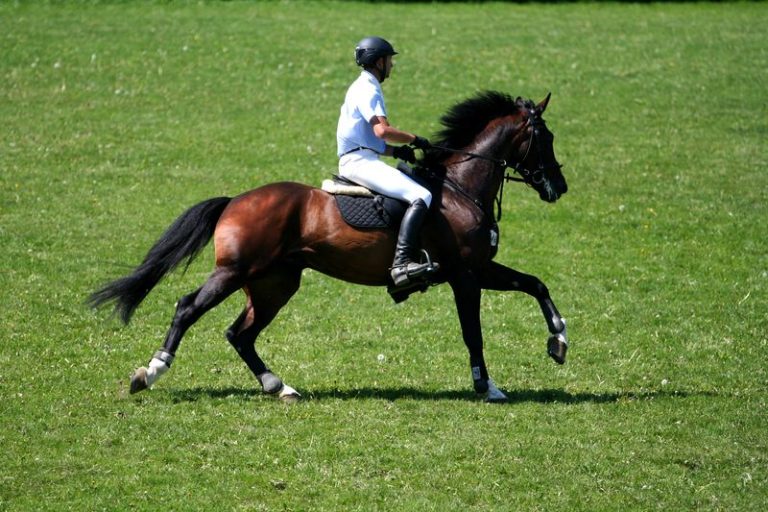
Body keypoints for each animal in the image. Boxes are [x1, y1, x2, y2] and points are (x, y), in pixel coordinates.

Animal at [89, 91, 569, 403]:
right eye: (544, 138)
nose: (559, 188)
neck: (459, 189)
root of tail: (236, 200)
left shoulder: (479, 270)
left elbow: (536, 284)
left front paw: (559, 341)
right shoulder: (465, 275)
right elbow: (474, 333)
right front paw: (487, 386)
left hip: (275, 284)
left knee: (240, 333)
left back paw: (278, 386)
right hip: (234, 272)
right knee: (188, 308)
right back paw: (150, 372)